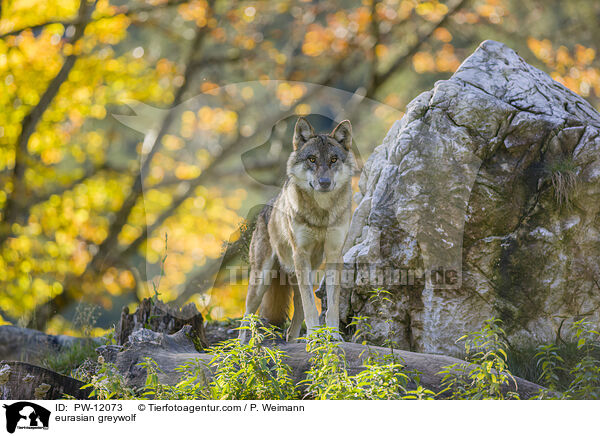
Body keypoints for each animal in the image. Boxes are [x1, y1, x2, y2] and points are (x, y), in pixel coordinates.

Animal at [239, 117, 356, 342]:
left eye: (333, 160)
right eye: (312, 159)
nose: (325, 182)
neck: (321, 213)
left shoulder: (334, 254)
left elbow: (332, 305)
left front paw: (333, 336)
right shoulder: (300, 253)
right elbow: (311, 306)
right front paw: (314, 337)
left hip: (304, 269)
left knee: (298, 310)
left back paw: (293, 339)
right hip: (262, 280)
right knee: (246, 317)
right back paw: (241, 348)